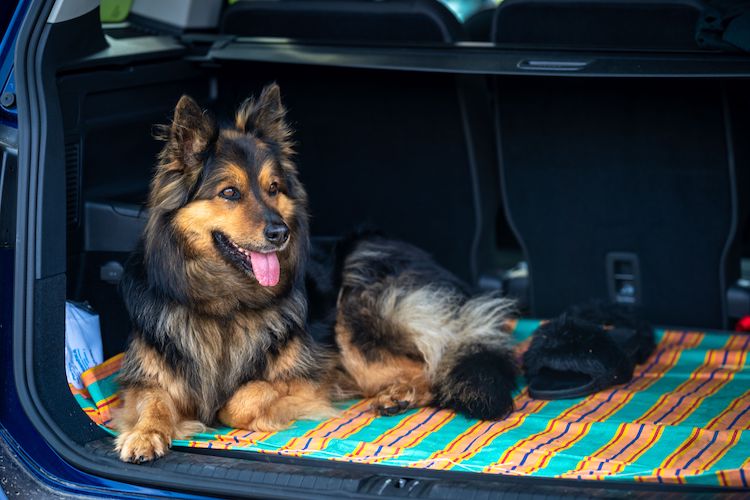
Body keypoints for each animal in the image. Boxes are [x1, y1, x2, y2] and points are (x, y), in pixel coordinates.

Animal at [114, 84, 520, 462]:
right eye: (229, 193)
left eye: (273, 189)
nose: (280, 233)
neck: (225, 302)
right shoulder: (146, 378)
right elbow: (153, 403)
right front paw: (144, 434)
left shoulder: (311, 376)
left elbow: (240, 400)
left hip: (355, 312)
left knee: (430, 369)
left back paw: (396, 395)